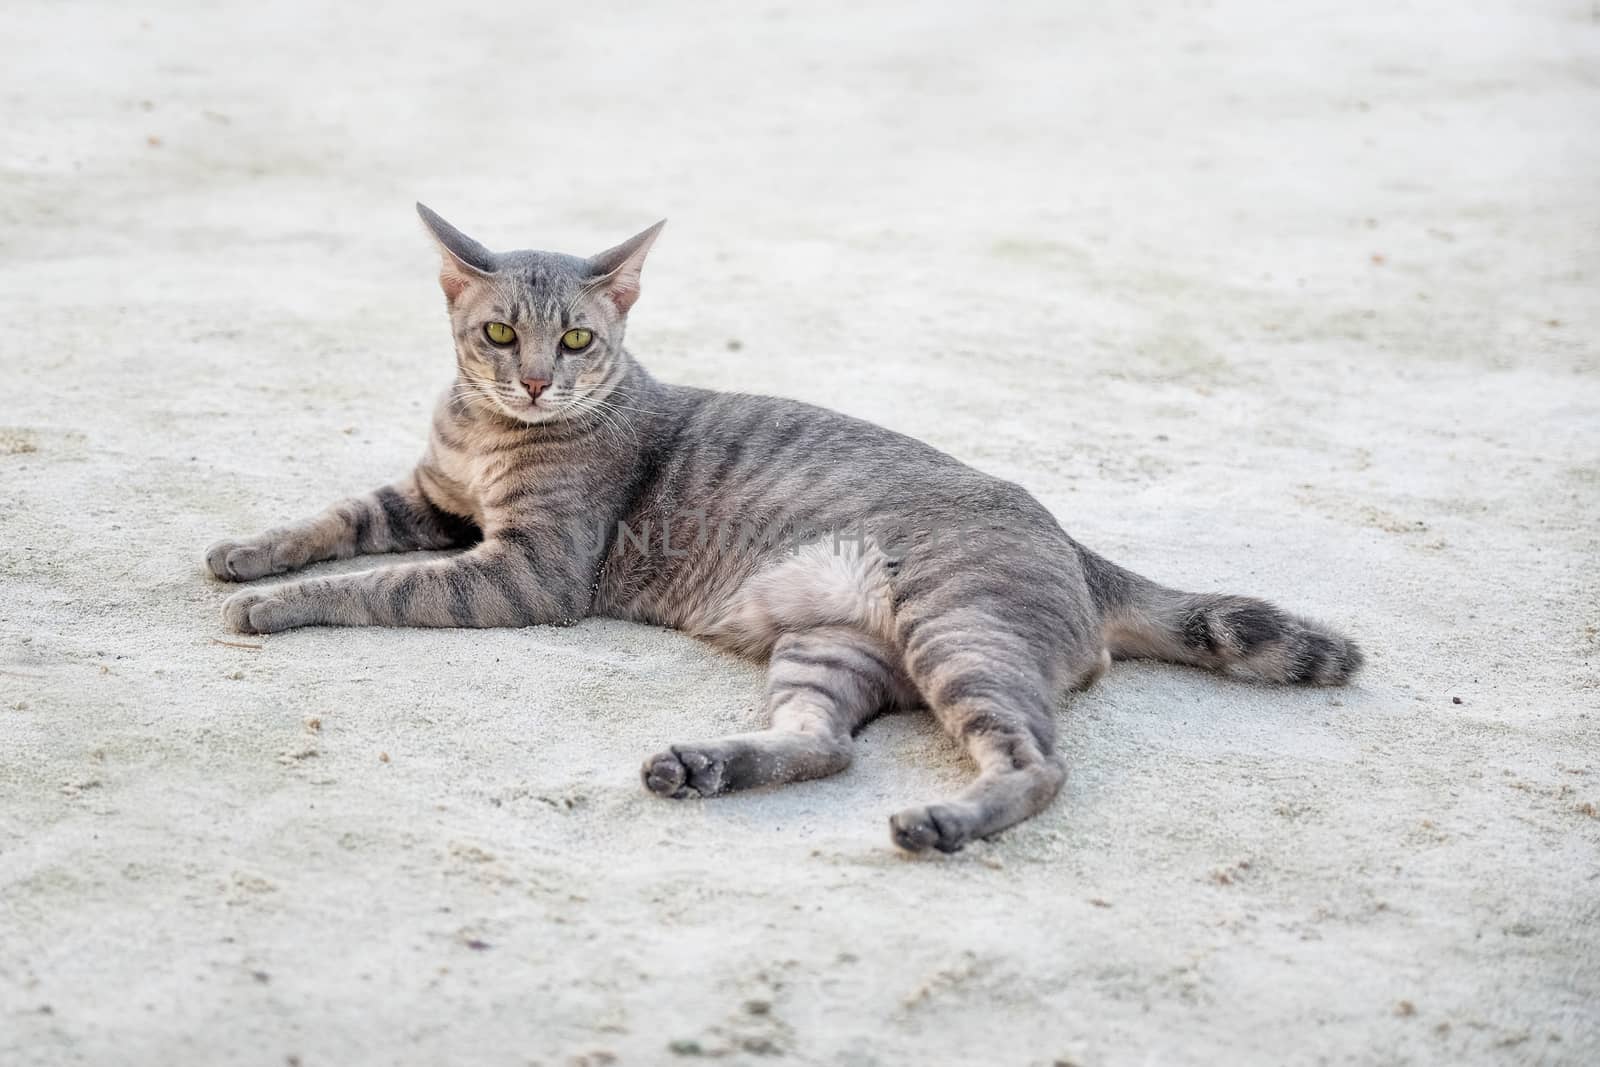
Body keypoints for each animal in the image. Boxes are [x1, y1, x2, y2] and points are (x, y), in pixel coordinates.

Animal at [203, 204, 1363, 857]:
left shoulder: (525, 570)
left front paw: (273, 603)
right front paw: (246, 550)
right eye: (497, 333)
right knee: (824, 746)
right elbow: (333, 518)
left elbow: (374, 582)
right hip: (831, 645)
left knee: (1035, 764)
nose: (535, 380)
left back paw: (940, 823)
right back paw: (702, 765)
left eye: (576, 339)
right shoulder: (433, 500)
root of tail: (1076, 544)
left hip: (958, 631)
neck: (492, 434)